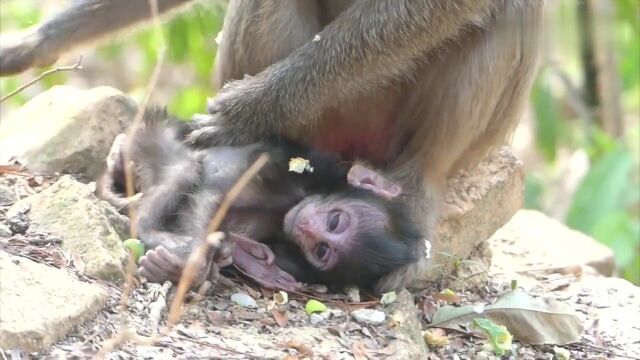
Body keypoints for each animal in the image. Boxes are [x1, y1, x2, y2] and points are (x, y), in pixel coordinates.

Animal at [97, 109, 422, 292]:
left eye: (321, 250)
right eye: (335, 221)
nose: (307, 229)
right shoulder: (298, 167)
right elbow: (216, 191)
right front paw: (194, 261)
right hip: (148, 140)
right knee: (188, 167)